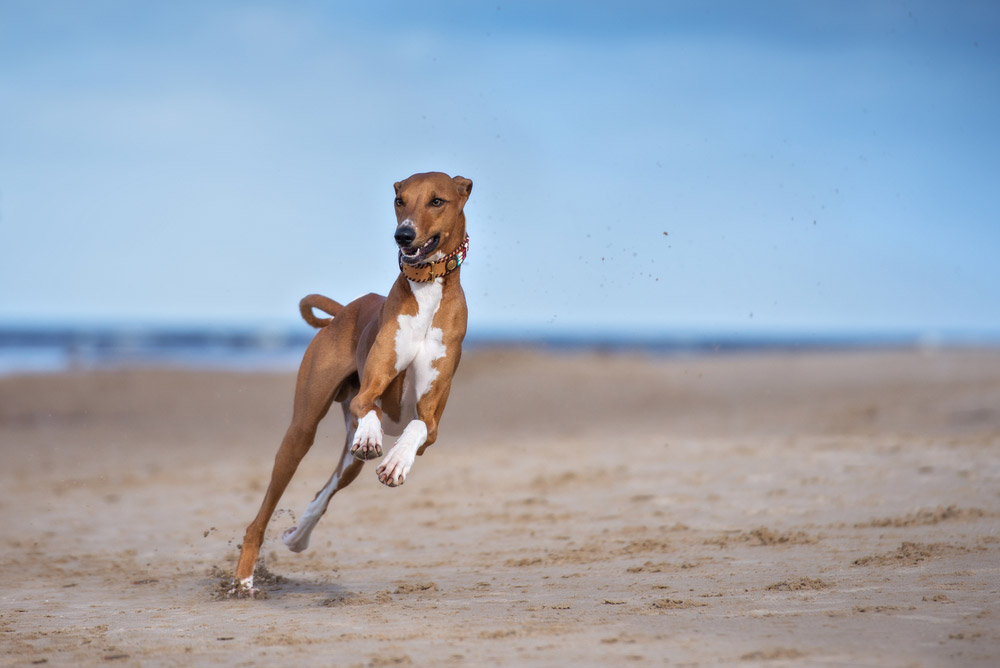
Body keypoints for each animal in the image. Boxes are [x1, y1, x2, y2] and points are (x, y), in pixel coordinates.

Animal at [230, 171, 472, 596]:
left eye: (437, 201)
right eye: (399, 200)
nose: (403, 236)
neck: (427, 291)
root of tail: (344, 310)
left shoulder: (432, 421)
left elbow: (416, 425)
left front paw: (396, 461)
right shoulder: (369, 392)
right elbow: (369, 406)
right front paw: (376, 438)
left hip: (348, 464)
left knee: (322, 494)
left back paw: (297, 537)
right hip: (300, 433)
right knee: (261, 515)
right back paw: (244, 578)